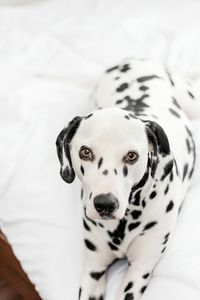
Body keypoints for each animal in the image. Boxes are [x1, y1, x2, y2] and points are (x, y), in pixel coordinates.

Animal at [55, 58, 199, 300]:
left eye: (132, 156)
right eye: (85, 152)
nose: (105, 204)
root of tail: (132, 59)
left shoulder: (140, 270)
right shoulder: (93, 269)